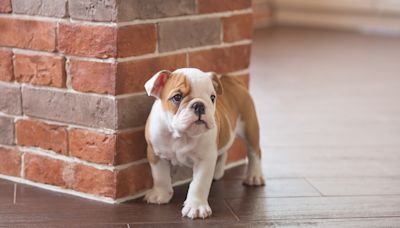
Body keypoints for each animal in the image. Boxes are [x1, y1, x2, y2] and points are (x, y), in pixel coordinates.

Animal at [143, 67, 262, 219]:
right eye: (177, 97)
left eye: (212, 98)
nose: (199, 105)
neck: (181, 135)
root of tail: (231, 79)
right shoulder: (155, 154)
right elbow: (160, 176)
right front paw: (160, 195)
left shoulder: (205, 160)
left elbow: (199, 184)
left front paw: (196, 207)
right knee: (223, 151)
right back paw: (218, 172)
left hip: (249, 127)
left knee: (254, 152)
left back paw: (254, 176)